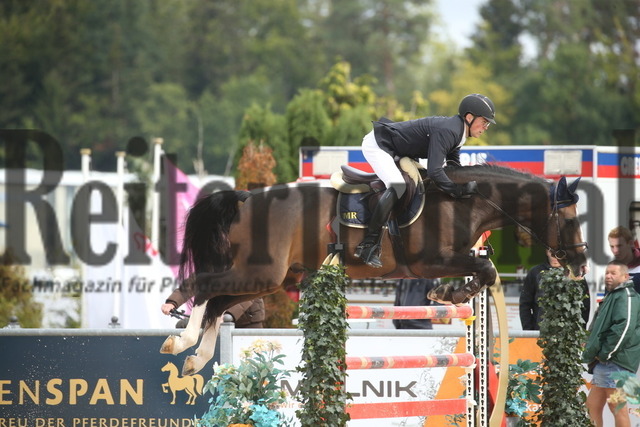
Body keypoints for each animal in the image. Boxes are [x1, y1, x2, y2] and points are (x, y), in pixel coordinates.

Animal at [159, 164, 584, 374]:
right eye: (570, 220)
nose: (579, 265)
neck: (464, 200)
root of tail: (246, 199)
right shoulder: (431, 260)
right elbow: (487, 270)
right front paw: (449, 293)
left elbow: (485, 269)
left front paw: (449, 294)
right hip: (261, 272)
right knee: (204, 285)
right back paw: (181, 339)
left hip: (271, 278)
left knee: (217, 302)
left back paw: (196, 356)